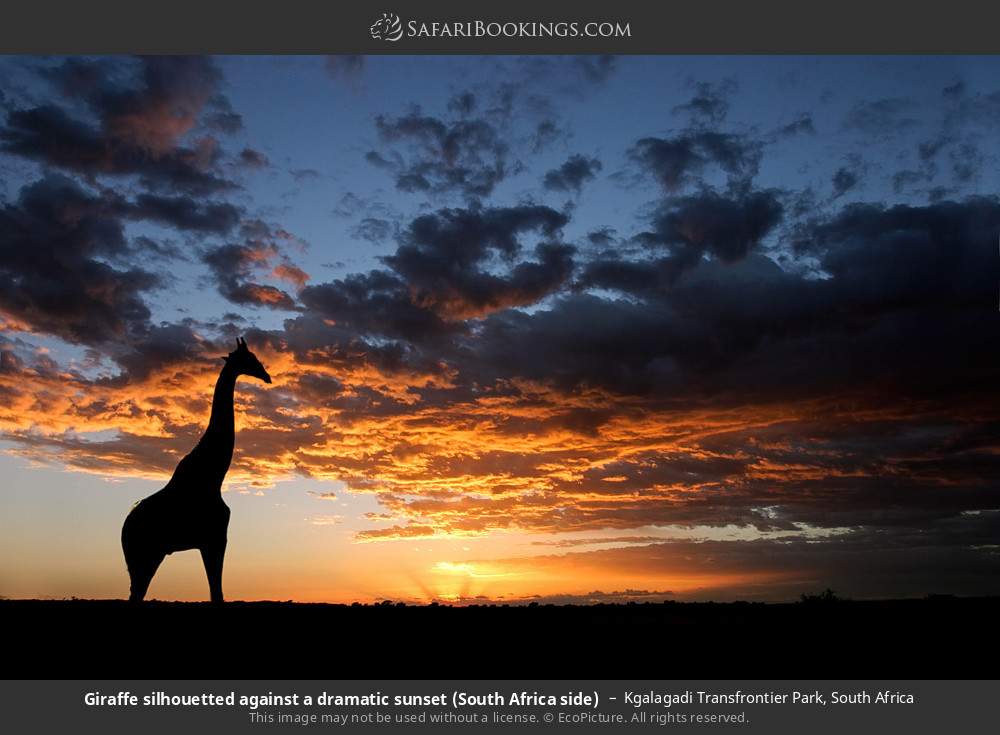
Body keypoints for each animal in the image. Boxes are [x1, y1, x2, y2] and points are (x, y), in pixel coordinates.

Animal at [121, 337, 271, 603]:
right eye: (250, 358)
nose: (267, 376)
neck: (212, 475)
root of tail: (122, 531)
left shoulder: (210, 540)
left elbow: (216, 592)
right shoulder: (216, 537)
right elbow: (216, 592)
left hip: (146, 558)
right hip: (146, 556)